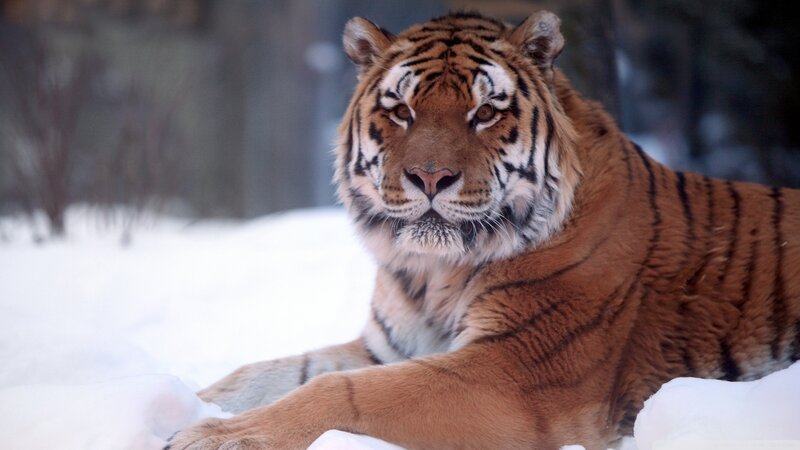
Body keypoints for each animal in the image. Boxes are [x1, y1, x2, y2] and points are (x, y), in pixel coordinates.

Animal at [167, 11, 800, 450]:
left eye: (486, 112)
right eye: (401, 111)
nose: (430, 177)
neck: (432, 274)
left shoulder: (512, 371)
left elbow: (339, 392)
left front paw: (215, 437)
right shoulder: (388, 346)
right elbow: (258, 375)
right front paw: (183, 408)